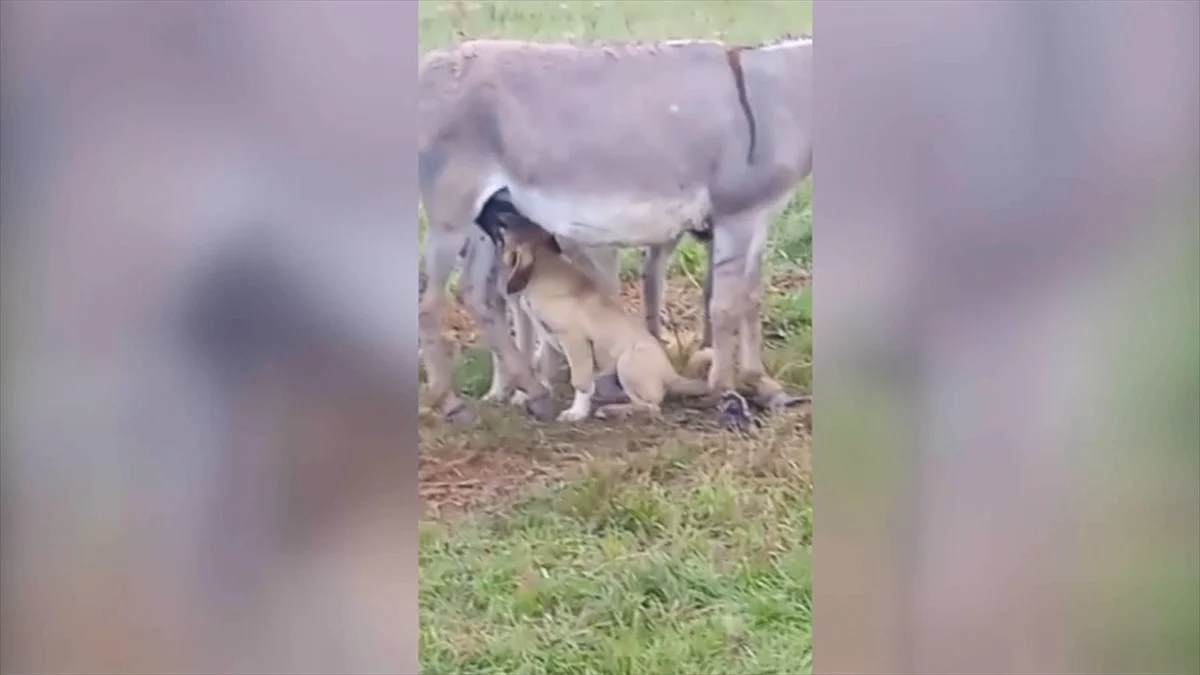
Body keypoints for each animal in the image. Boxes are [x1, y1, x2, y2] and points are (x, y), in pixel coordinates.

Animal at [496, 210, 710, 420]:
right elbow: (545, 368)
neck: (545, 266)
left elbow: (580, 382)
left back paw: (610, 410)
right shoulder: (549, 341)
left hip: (627, 362)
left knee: (651, 407)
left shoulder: (575, 341)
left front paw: (577, 412)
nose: (502, 213)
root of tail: (671, 374)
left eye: (509, 230)